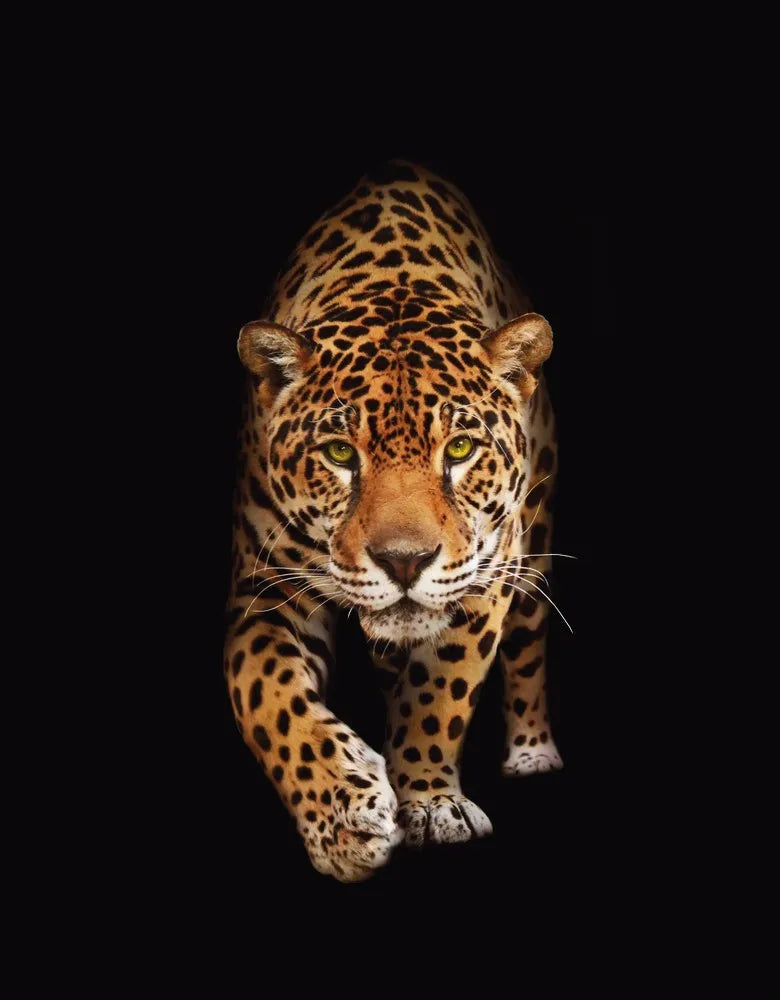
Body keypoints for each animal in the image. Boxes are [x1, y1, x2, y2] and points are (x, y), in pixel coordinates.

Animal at [225, 160, 563, 882]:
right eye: (338, 454)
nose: (404, 561)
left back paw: (532, 752)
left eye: (459, 450)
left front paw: (430, 803)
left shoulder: (486, 573)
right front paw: (343, 819)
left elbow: (440, 690)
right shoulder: (265, 590)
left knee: (527, 647)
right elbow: (267, 697)